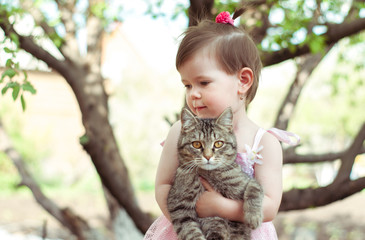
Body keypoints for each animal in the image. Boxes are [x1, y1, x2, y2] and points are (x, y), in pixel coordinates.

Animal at [166, 108, 264, 240]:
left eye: (218, 144)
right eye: (196, 144)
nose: (208, 156)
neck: (210, 174)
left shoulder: (247, 181)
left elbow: (254, 190)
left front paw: (253, 216)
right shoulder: (178, 206)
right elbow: (191, 232)